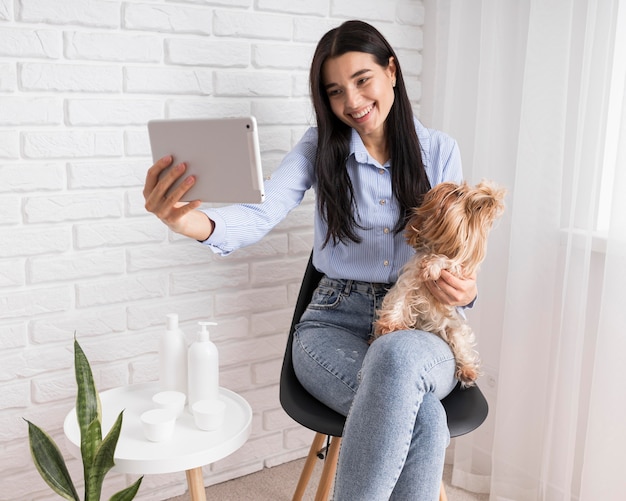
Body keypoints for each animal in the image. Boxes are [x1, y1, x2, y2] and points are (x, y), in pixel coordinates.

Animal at [372, 180, 504, 386]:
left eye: (460, 194)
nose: (449, 186)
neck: (439, 247)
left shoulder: (460, 269)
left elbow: (449, 262)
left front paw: (433, 265)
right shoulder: (409, 281)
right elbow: (399, 301)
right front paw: (389, 325)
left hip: (455, 328)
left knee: (463, 347)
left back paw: (467, 371)